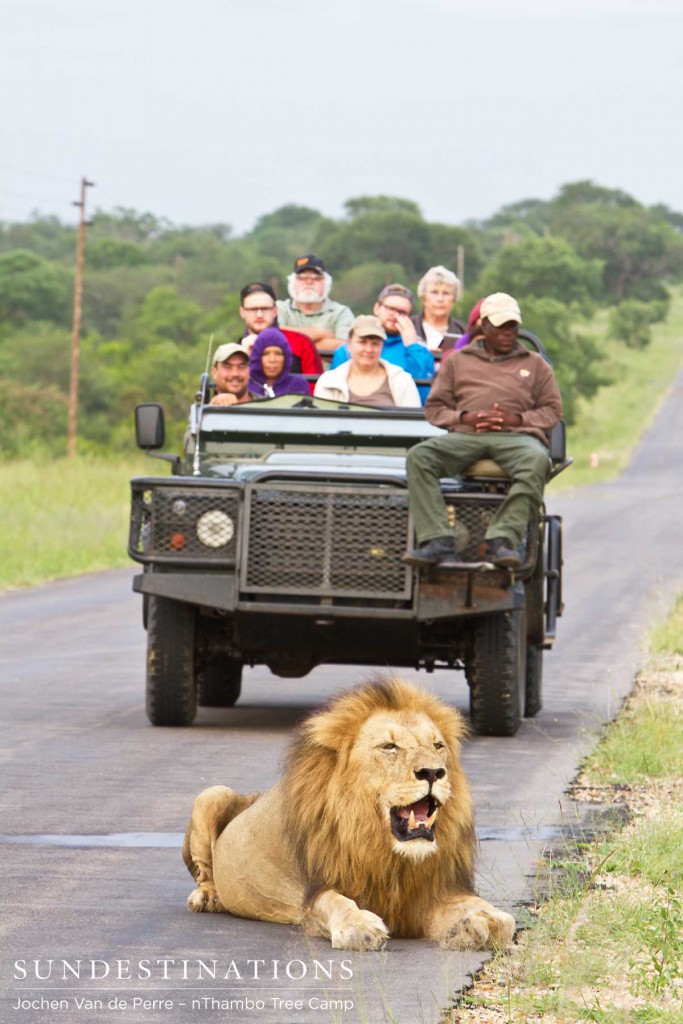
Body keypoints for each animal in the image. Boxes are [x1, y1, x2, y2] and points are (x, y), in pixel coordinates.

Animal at [184, 671, 516, 950]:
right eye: (389, 747)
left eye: (438, 746)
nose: (433, 772)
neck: (387, 851)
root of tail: (255, 794)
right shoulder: (316, 892)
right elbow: (336, 902)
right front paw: (360, 927)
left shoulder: (428, 895)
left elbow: (504, 921)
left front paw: (475, 924)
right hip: (210, 794)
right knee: (205, 871)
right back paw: (208, 897)